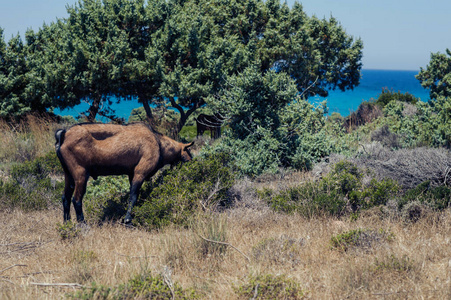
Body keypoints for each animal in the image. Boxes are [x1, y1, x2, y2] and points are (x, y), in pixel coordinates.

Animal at [53, 123, 193, 224]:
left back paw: (67, 224)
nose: (191, 162)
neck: (158, 142)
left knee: (65, 198)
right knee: (76, 199)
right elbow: (133, 196)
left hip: (68, 175)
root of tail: (64, 134)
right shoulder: (140, 172)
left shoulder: (131, 174)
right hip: (80, 174)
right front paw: (127, 220)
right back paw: (83, 225)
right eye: (188, 153)